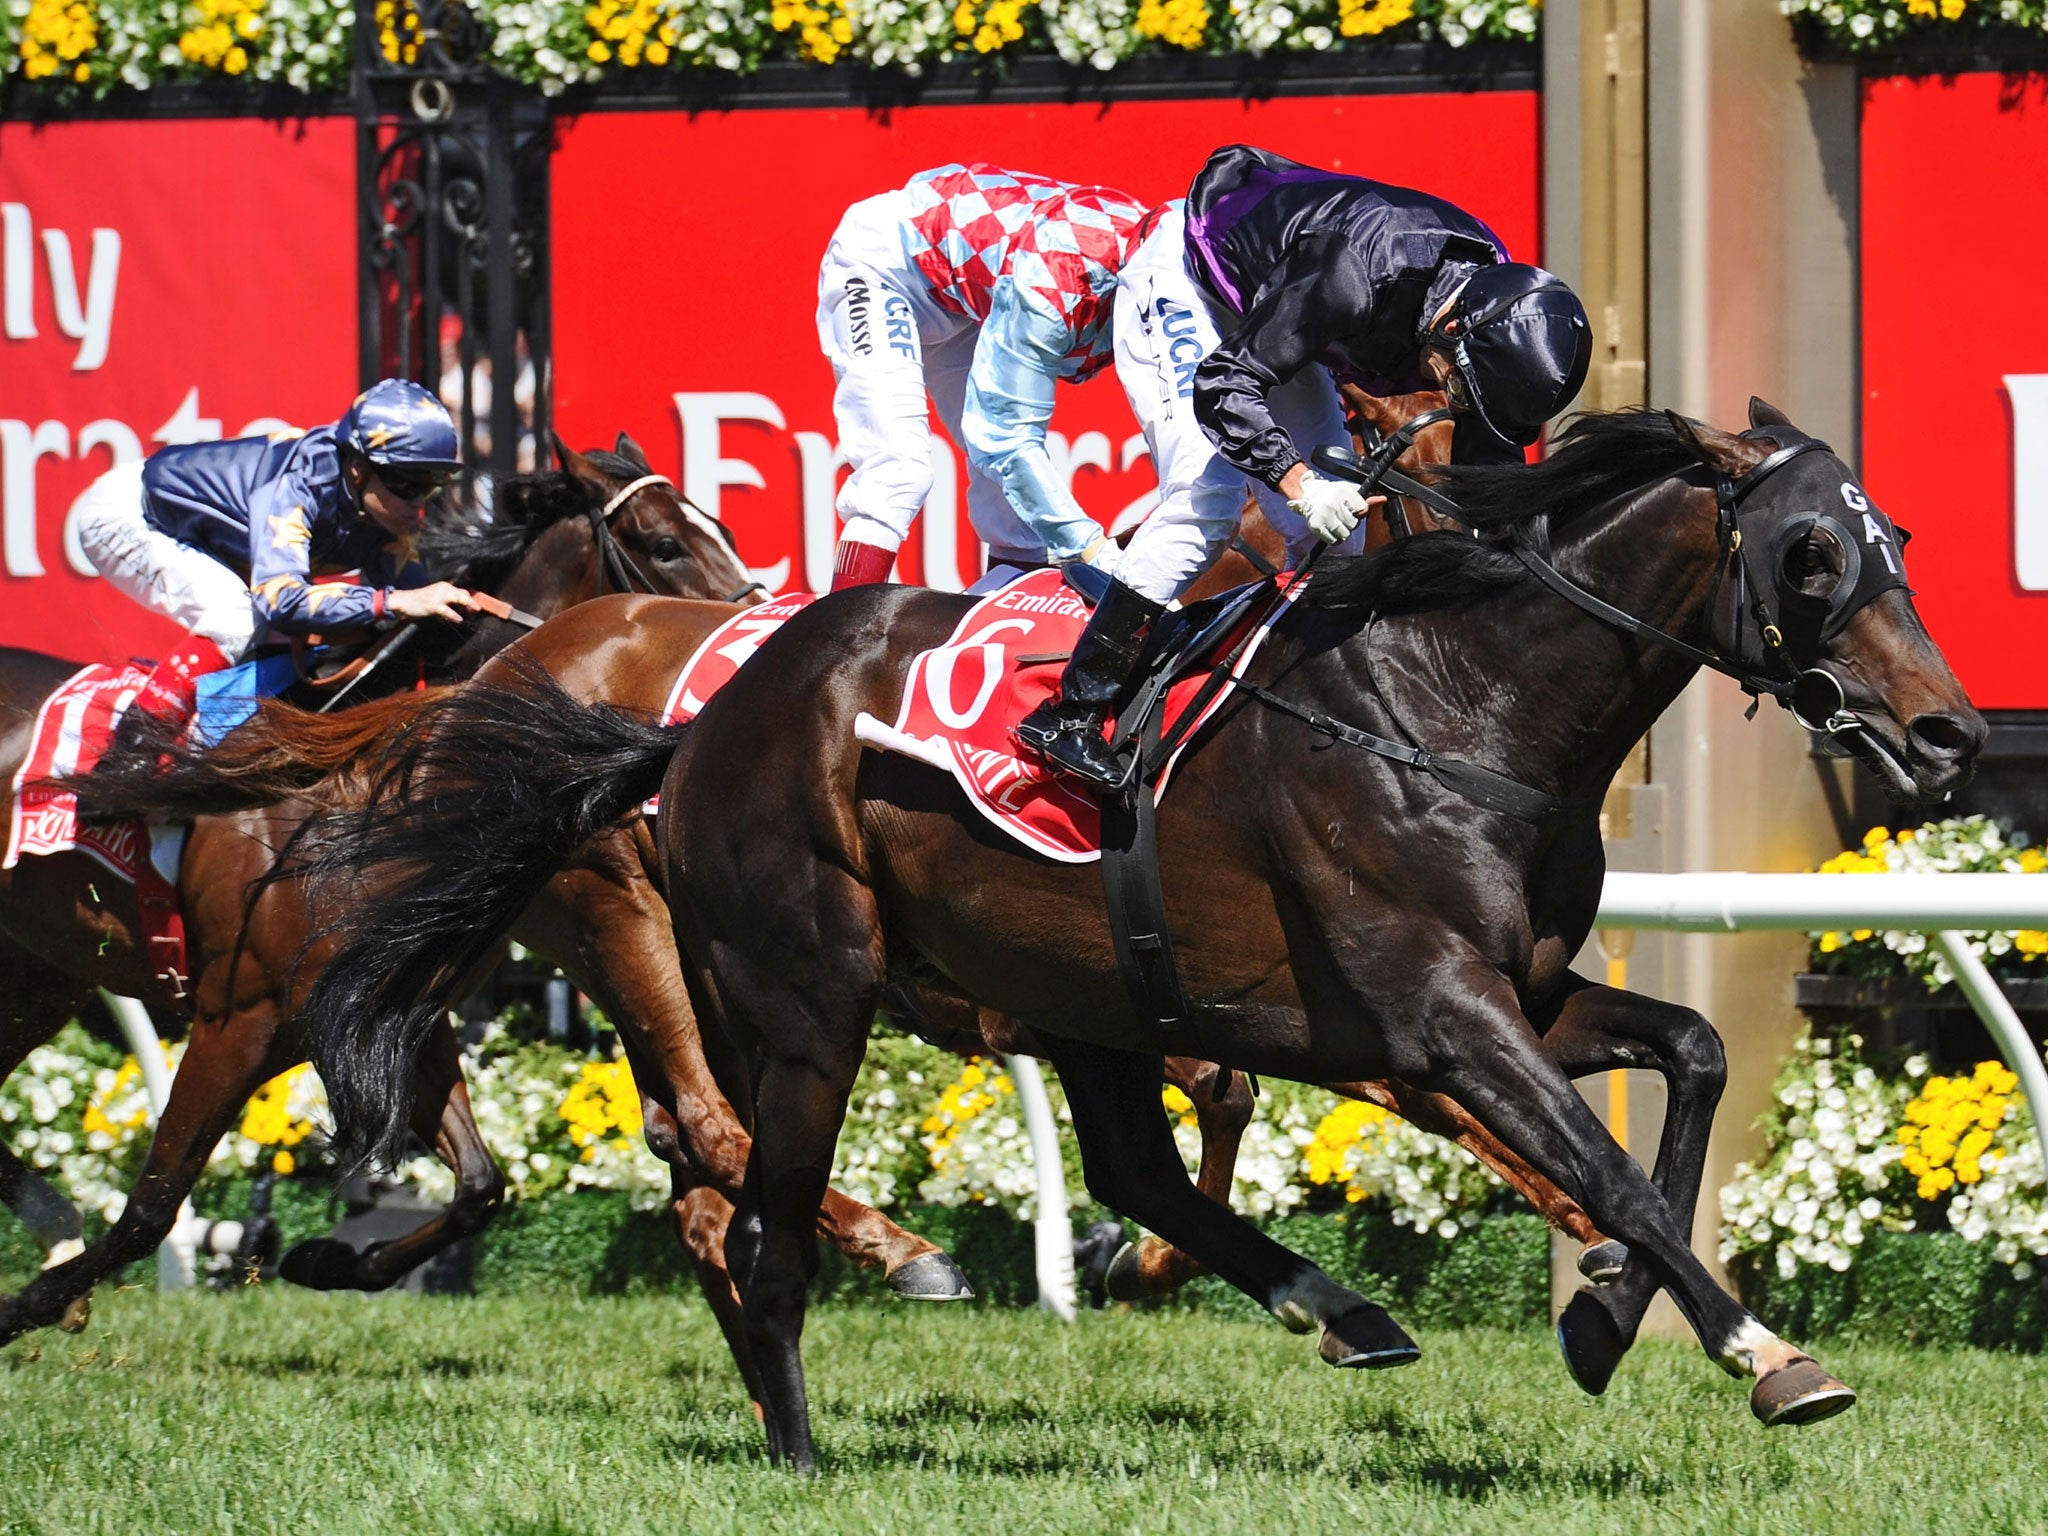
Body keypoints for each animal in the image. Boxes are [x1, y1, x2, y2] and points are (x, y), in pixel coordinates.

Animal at [280, 399, 1974, 1466]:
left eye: (1892, 541)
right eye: (1815, 556)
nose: (1950, 735)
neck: (1452, 701)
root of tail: (702, 718)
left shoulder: (1511, 996)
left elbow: (1688, 1063)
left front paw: (1613, 1318)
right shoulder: (1437, 1014)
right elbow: (1604, 1167)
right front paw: (1765, 1357)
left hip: (1076, 985)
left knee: (1123, 1167)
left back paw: (1337, 1309)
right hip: (802, 988)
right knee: (754, 1210)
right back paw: (805, 1437)